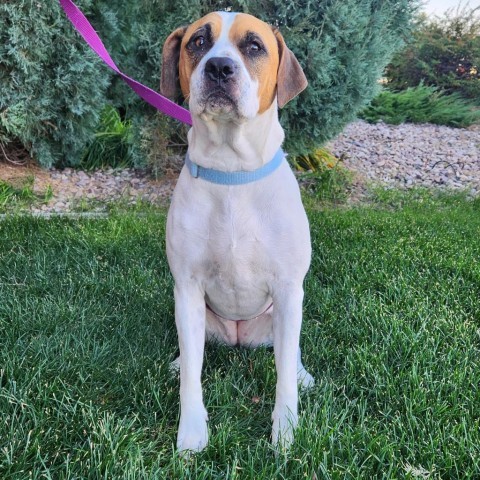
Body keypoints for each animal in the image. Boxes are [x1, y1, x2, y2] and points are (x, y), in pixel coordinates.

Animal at [161, 12, 316, 454]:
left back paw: (302, 373)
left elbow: (284, 377)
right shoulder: (187, 288)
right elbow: (191, 378)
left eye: (254, 46)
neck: (232, 171)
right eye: (197, 42)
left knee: (290, 351)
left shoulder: (288, 288)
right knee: (191, 353)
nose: (219, 68)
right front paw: (191, 432)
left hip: (284, 313)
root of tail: (238, 338)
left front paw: (286, 433)